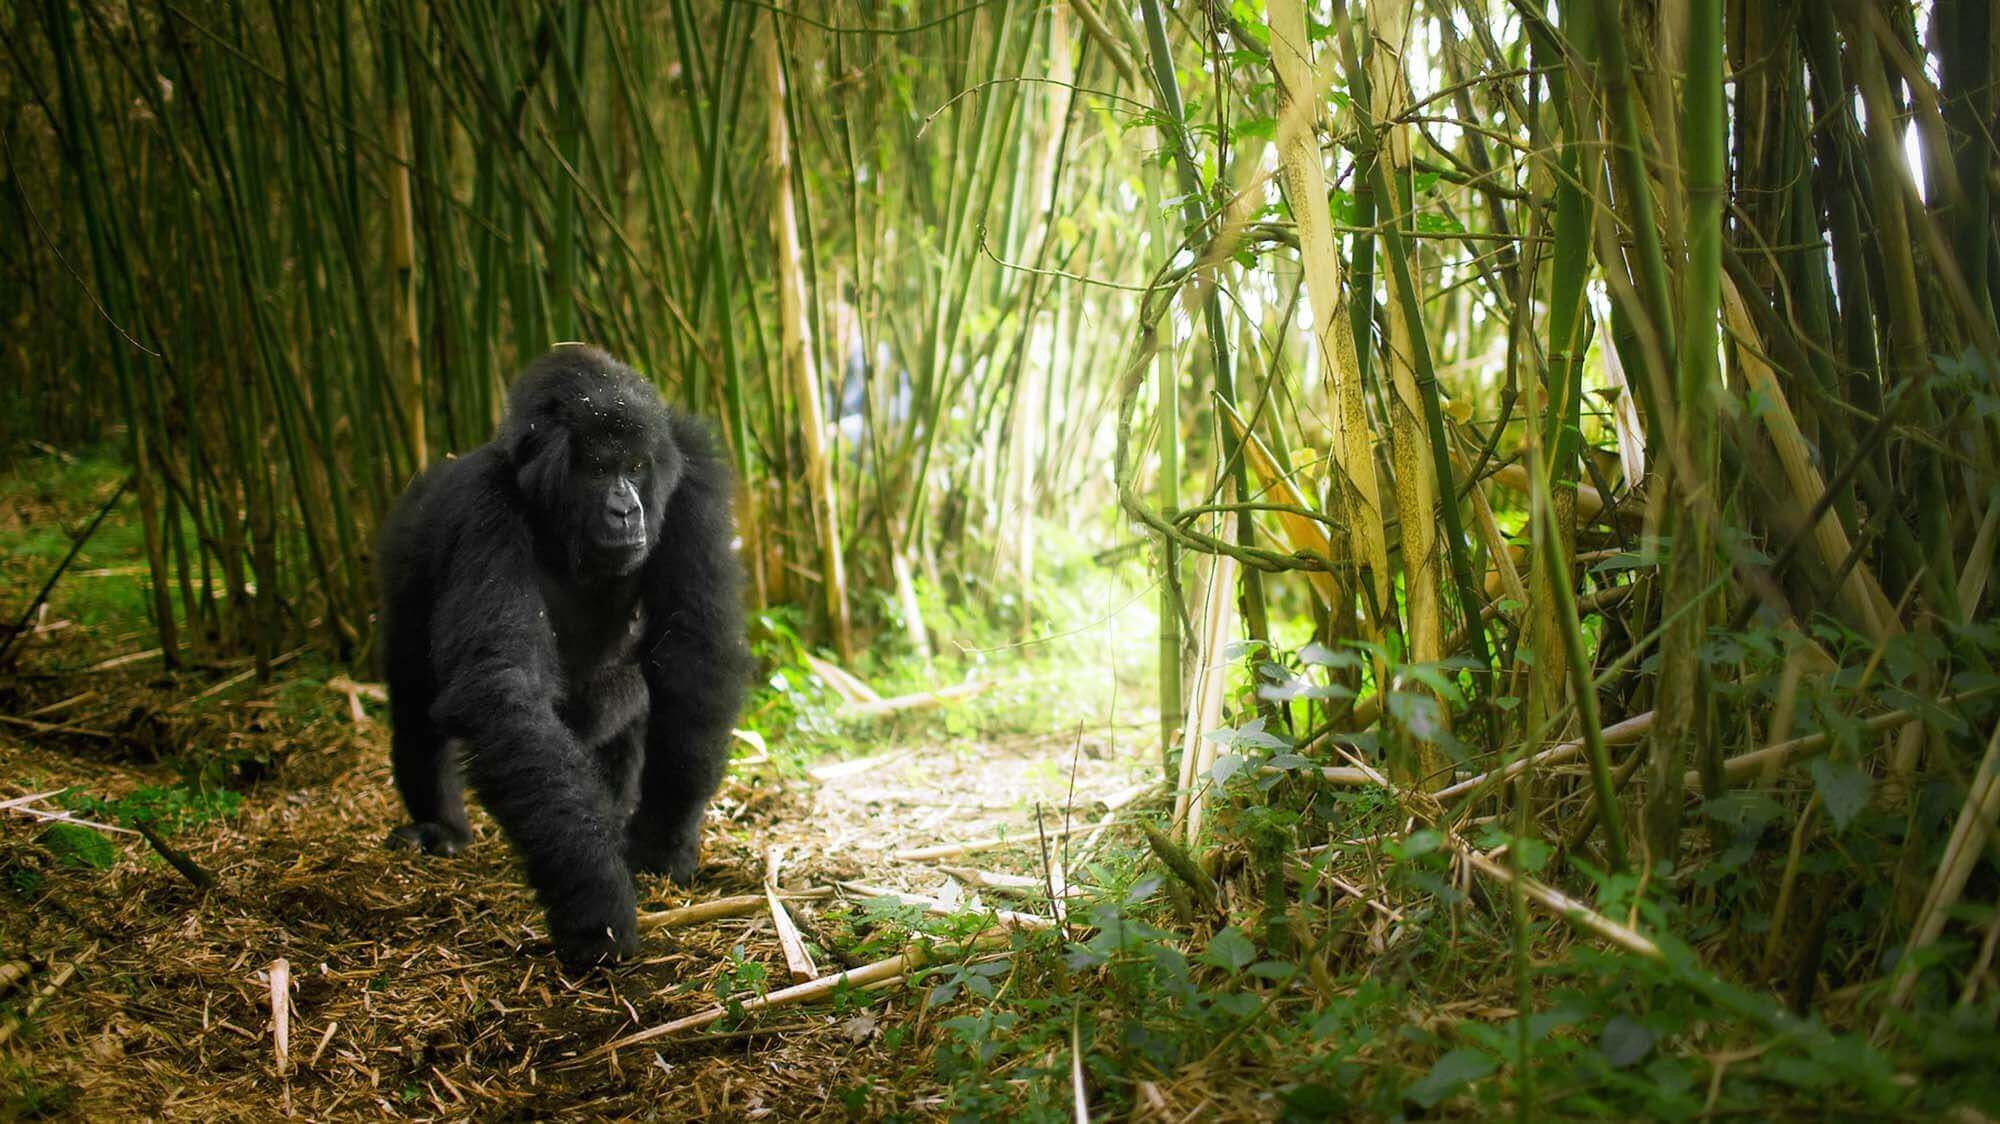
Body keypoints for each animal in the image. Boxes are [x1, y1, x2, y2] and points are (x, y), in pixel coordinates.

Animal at [376, 344, 752, 964]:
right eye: (598, 469)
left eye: (636, 467)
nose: (627, 511)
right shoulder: (483, 503)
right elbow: (503, 687)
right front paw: (593, 894)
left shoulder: (692, 474)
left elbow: (691, 650)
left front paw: (662, 840)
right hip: (404, 551)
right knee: (413, 700)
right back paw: (440, 827)